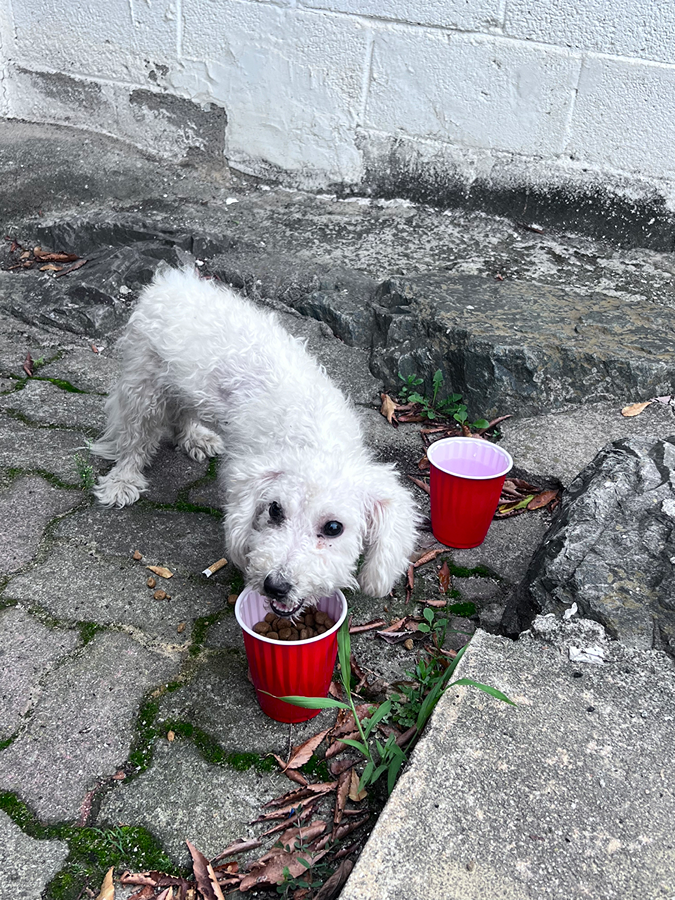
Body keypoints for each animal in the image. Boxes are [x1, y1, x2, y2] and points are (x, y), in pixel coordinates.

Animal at [92, 268, 420, 620]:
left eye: (334, 527)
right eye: (275, 510)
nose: (275, 586)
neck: (314, 441)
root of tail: (170, 280)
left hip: (183, 387)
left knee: (183, 413)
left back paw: (195, 437)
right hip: (143, 391)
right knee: (133, 439)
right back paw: (123, 480)